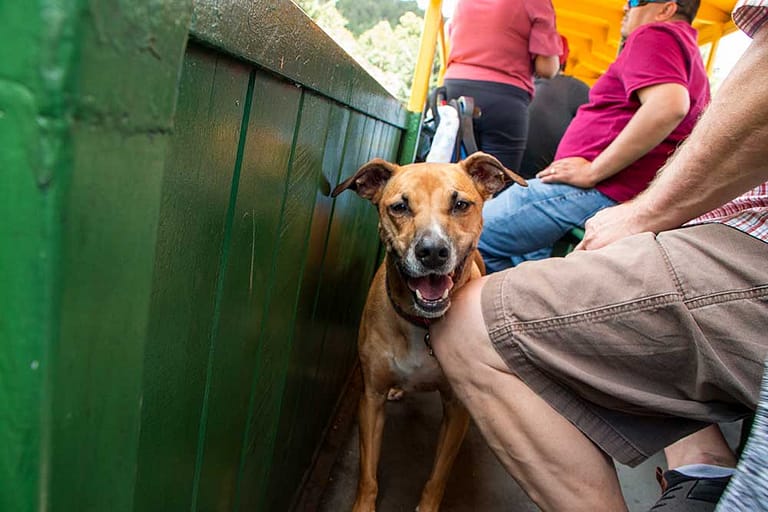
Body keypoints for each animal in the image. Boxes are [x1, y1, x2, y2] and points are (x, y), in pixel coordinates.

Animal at [330, 150, 528, 510]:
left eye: (461, 204)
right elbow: (367, 474)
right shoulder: (370, 401)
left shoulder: (456, 411)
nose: (433, 251)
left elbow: (437, 477)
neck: (421, 323)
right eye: (400, 206)